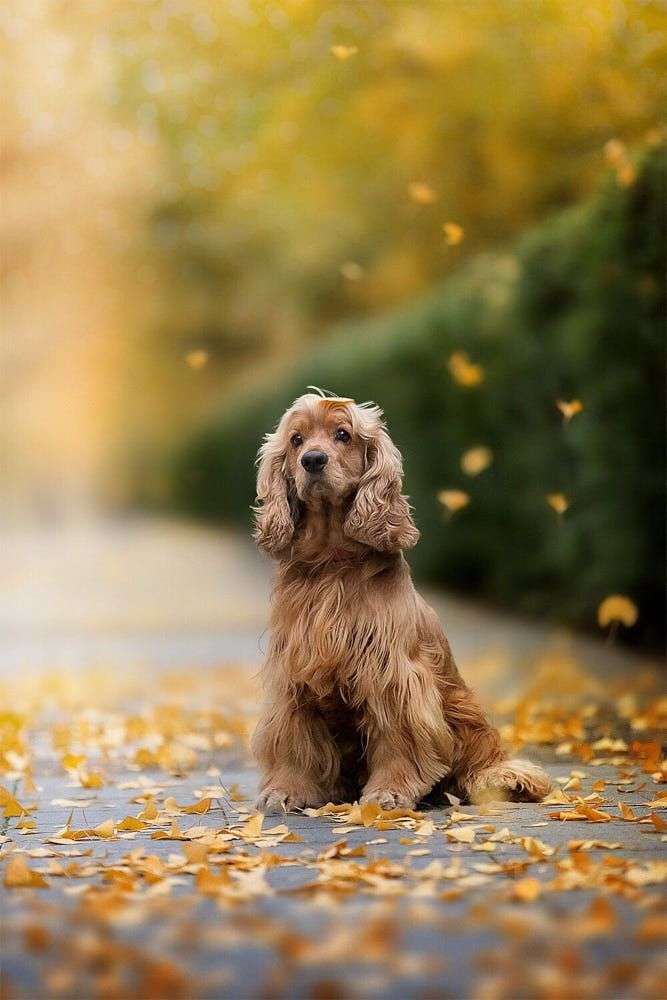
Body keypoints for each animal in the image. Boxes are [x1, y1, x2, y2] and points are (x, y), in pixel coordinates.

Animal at [252, 390, 552, 812]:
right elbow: (295, 738)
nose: (312, 460)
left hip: (466, 715)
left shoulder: (392, 675)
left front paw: (389, 792)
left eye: (343, 434)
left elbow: (397, 736)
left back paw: (502, 780)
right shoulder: (293, 673)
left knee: (481, 765)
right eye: (296, 440)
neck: (333, 562)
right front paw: (287, 789)